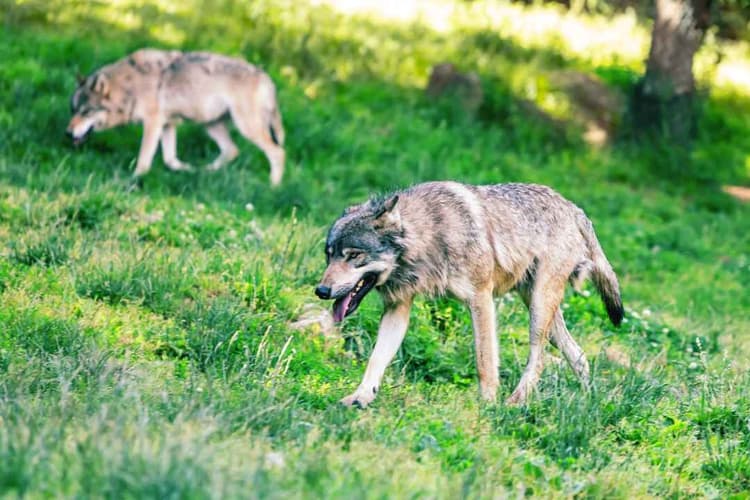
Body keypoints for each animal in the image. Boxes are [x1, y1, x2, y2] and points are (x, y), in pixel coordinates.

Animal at [67, 48, 286, 185]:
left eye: (86, 112)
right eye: (73, 110)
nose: (68, 133)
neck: (130, 87)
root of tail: (266, 78)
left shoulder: (153, 123)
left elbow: (144, 160)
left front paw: (134, 180)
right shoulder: (168, 125)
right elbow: (170, 159)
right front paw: (186, 169)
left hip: (245, 128)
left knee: (278, 152)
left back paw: (273, 187)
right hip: (210, 125)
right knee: (232, 150)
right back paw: (204, 172)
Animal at [315, 181, 623, 407]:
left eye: (353, 255)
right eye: (329, 255)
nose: (321, 291)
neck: (430, 234)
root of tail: (574, 208)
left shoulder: (481, 299)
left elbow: (484, 360)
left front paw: (487, 404)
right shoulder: (398, 307)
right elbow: (377, 358)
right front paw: (361, 396)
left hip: (538, 311)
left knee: (539, 358)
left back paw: (515, 402)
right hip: (541, 311)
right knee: (579, 355)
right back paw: (588, 400)